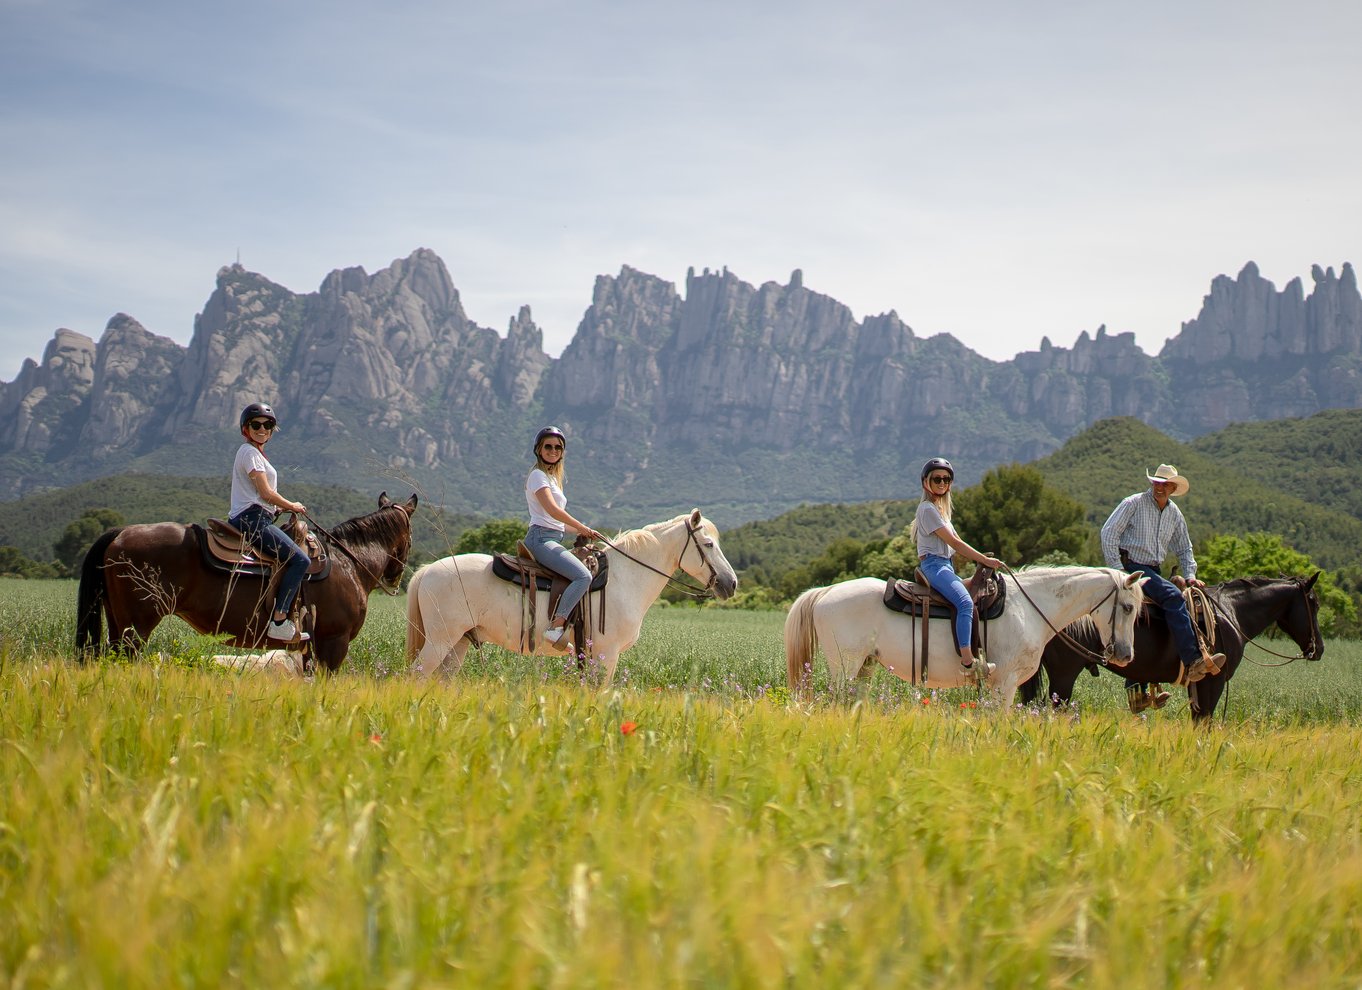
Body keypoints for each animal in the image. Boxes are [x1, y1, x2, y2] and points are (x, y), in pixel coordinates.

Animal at [73, 495, 411, 672]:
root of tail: (119, 533)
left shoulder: (311, 646)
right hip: (136, 628)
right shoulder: (334, 642)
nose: (395, 577)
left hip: (118, 623)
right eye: (409, 535)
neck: (347, 562)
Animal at [408, 512, 740, 680]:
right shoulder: (607, 654)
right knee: (416, 676)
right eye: (708, 544)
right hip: (439, 641)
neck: (625, 579)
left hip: (459, 644)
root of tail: (426, 571)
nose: (731, 583)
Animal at [784, 566, 1144, 702]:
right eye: (1128, 607)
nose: (1126, 656)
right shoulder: (1005, 683)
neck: (1029, 607)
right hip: (844, 666)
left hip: (864, 668)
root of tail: (825, 591)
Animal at [1024, 571, 1318, 719]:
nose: (1318, 650)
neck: (1231, 613)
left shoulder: (1198, 685)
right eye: (1314, 603)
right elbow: (1205, 721)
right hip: (1063, 675)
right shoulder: (1214, 681)